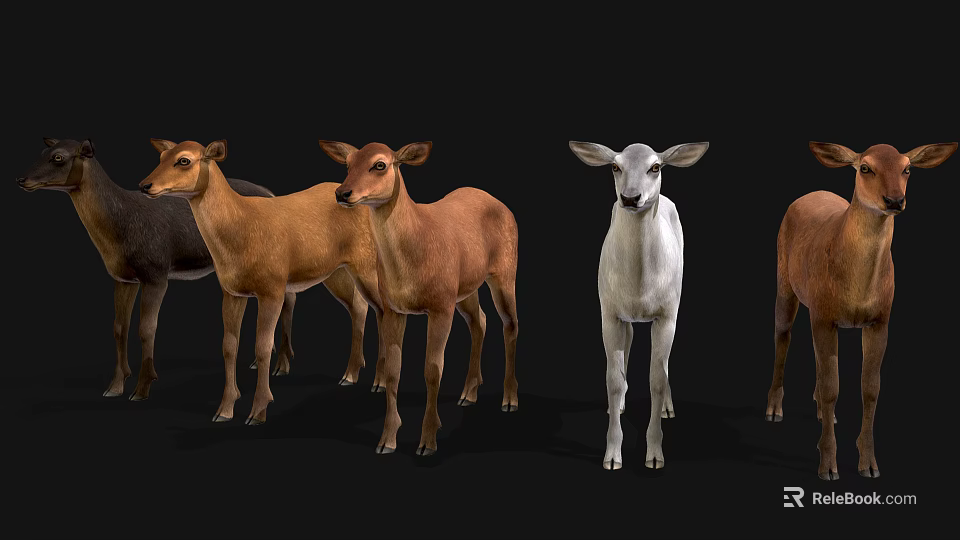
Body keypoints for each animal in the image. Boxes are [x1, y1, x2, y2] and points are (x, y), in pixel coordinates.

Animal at [16, 138, 295, 401]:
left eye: (58, 157)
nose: (21, 179)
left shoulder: (156, 272)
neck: (118, 233)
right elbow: (119, 327)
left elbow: (147, 328)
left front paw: (142, 388)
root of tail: (272, 193)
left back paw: (281, 365)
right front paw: (115, 386)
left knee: (288, 297)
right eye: (42, 152)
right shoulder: (123, 277)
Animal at [140, 139, 386, 425]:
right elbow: (229, 346)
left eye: (184, 160)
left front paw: (258, 411)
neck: (242, 231)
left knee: (383, 309)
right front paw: (224, 410)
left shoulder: (272, 287)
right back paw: (350, 375)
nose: (145, 185)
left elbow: (262, 347)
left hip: (367, 261)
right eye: (162, 156)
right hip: (336, 271)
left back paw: (379, 382)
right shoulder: (231, 291)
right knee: (360, 307)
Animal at [320, 141, 519, 456]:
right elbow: (394, 371)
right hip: (464, 287)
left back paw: (509, 400)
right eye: (348, 163)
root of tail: (501, 204)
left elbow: (432, 370)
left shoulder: (439, 306)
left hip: (503, 271)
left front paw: (428, 441)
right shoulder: (394, 308)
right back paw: (468, 393)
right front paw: (386, 440)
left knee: (510, 323)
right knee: (480, 321)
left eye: (380, 164)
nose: (342, 193)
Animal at [569, 140, 709, 470]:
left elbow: (657, 379)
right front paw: (611, 456)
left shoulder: (667, 315)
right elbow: (613, 380)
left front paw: (655, 455)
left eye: (655, 167)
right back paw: (618, 406)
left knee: (663, 365)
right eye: (615, 166)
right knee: (629, 343)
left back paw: (667, 408)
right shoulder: (609, 313)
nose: (631, 198)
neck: (640, 286)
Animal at [765, 141, 957, 480]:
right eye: (865, 167)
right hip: (785, 279)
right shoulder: (824, 315)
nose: (894, 200)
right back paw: (774, 409)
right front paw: (828, 466)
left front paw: (868, 463)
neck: (858, 290)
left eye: (908, 168)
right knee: (783, 334)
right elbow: (833, 387)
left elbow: (870, 388)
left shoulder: (880, 319)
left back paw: (819, 411)